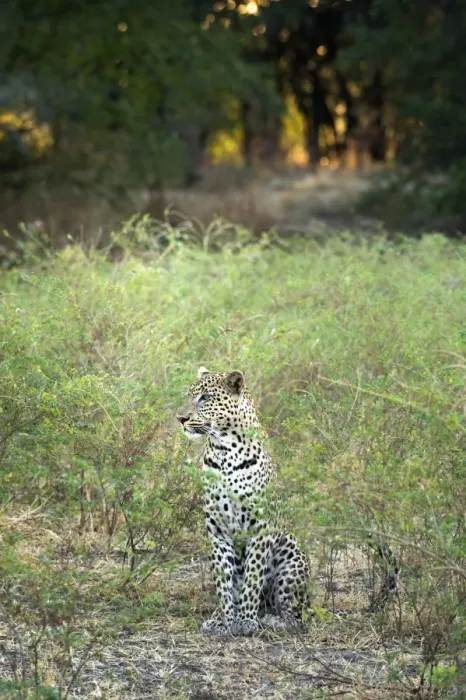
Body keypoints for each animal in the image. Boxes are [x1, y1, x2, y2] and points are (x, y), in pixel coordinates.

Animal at [177, 367, 310, 637]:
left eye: (205, 397)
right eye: (189, 395)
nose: (181, 418)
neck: (224, 450)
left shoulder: (260, 528)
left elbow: (252, 577)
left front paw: (246, 621)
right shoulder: (217, 530)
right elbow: (224, 582)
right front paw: (227, 620)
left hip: (291, 551)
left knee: (294, 616)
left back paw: (271, 619)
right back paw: (217, 617)